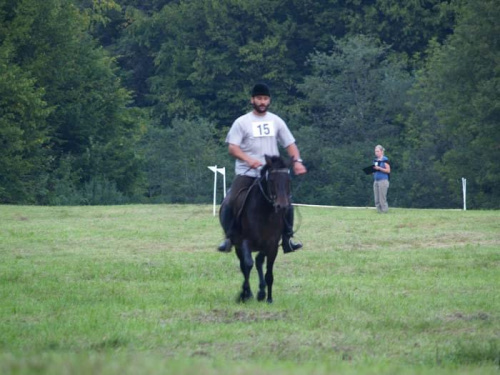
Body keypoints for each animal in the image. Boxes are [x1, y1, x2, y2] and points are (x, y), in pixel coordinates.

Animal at [220, 156, 292, 306]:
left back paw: (261, 292)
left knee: (258, 262)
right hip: (238, 246)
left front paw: (268, 298)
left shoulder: (271, 245)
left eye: (288, 180)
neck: (264, 212)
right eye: (271, 180)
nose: (282, 206)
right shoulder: (244, 242)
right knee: (245, 265)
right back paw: (250, 293)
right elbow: (247, 265)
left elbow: (268, 272)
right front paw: (244, 294)